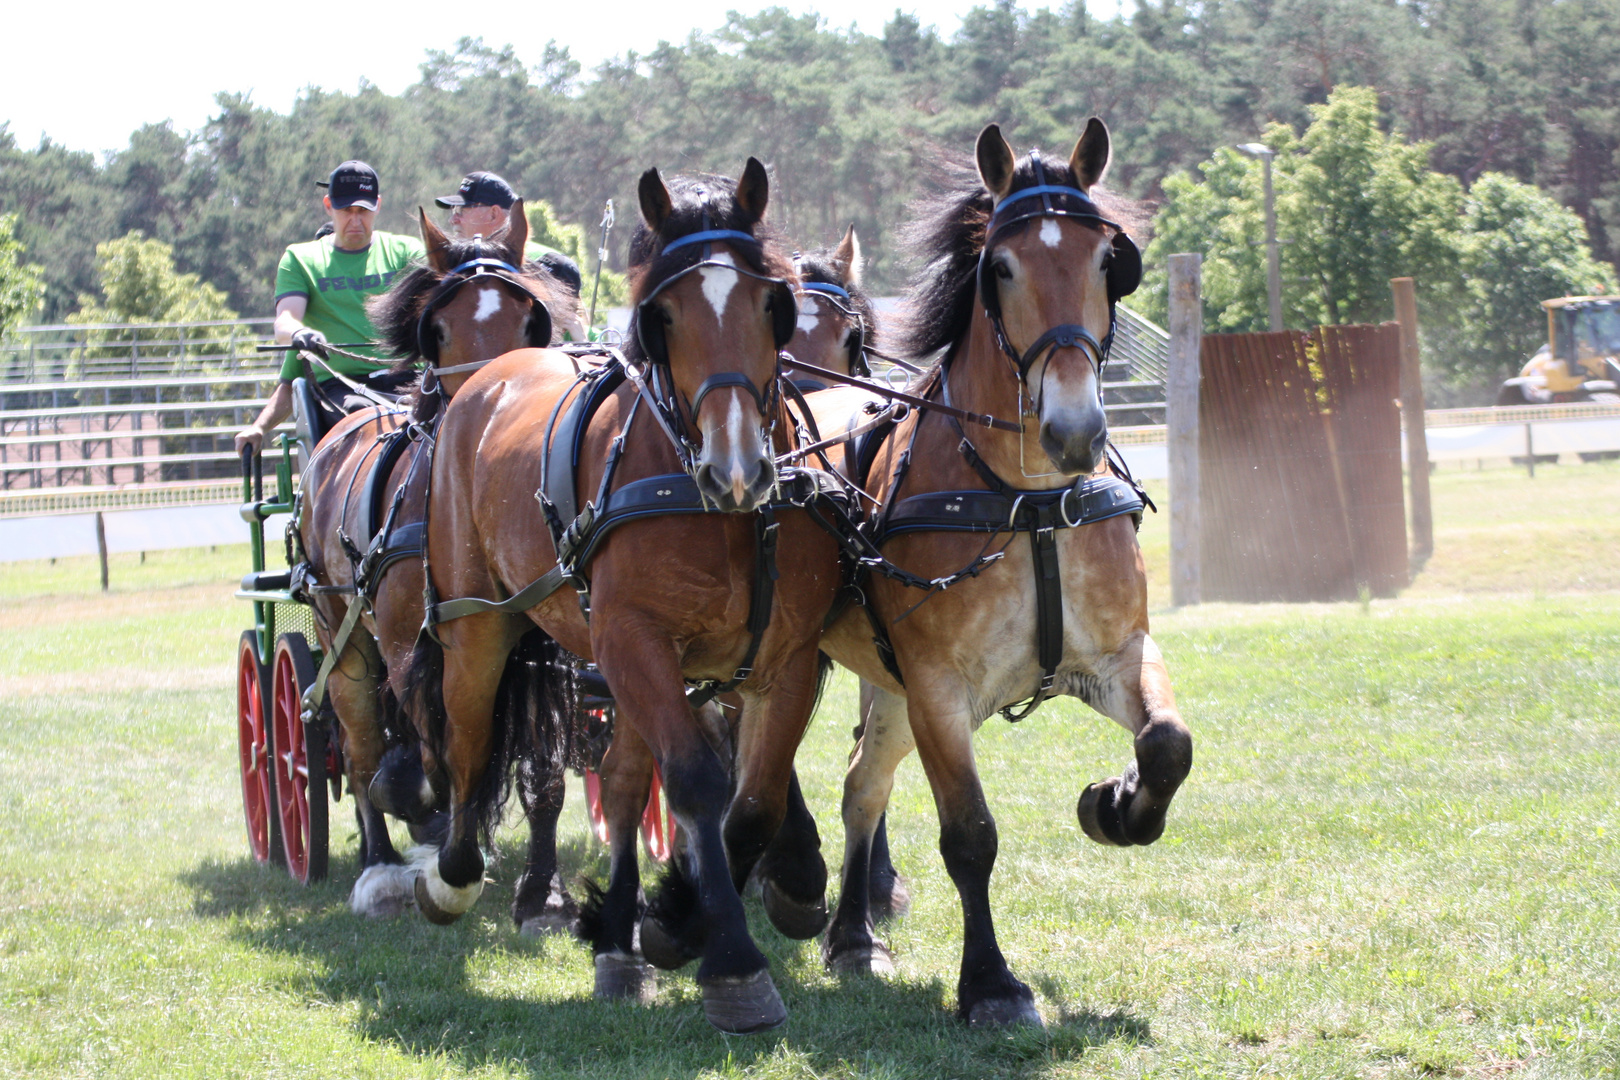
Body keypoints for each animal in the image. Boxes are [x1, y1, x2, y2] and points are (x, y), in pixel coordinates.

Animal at [298, 204, 589, 932]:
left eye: (531, 319)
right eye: (439, 327)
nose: (499, 398)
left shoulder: (546, 654)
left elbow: (542, 773)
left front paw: (542, 894)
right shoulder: (409, 645)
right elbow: (427, 762)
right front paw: (436, 842)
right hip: (341, 632)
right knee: (360, 742)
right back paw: (380, 868)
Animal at [405, 160, 842, 1029]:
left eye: (770, 304)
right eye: (661, 315)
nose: (737, 467)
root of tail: (488, 381)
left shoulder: (784, 659)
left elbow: (753, 800)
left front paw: (676, 922)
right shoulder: (632, 639)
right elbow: (700, 783)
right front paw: (733, 964)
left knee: (628, 773)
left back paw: (616, 943)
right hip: (478, 626)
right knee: (468, 738)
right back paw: (456, 870)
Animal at [810, 122, 1192, 1029]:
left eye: (1108, 260)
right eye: (1003, 267)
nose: (1075, 429)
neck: (1031, 501)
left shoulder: (1119, 655)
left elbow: (1168, 742)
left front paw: (1116, 804)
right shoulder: (939, 689)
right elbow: (970, 835)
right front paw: (989, 984)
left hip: (887, 686)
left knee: (861, 786)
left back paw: (852, 934)